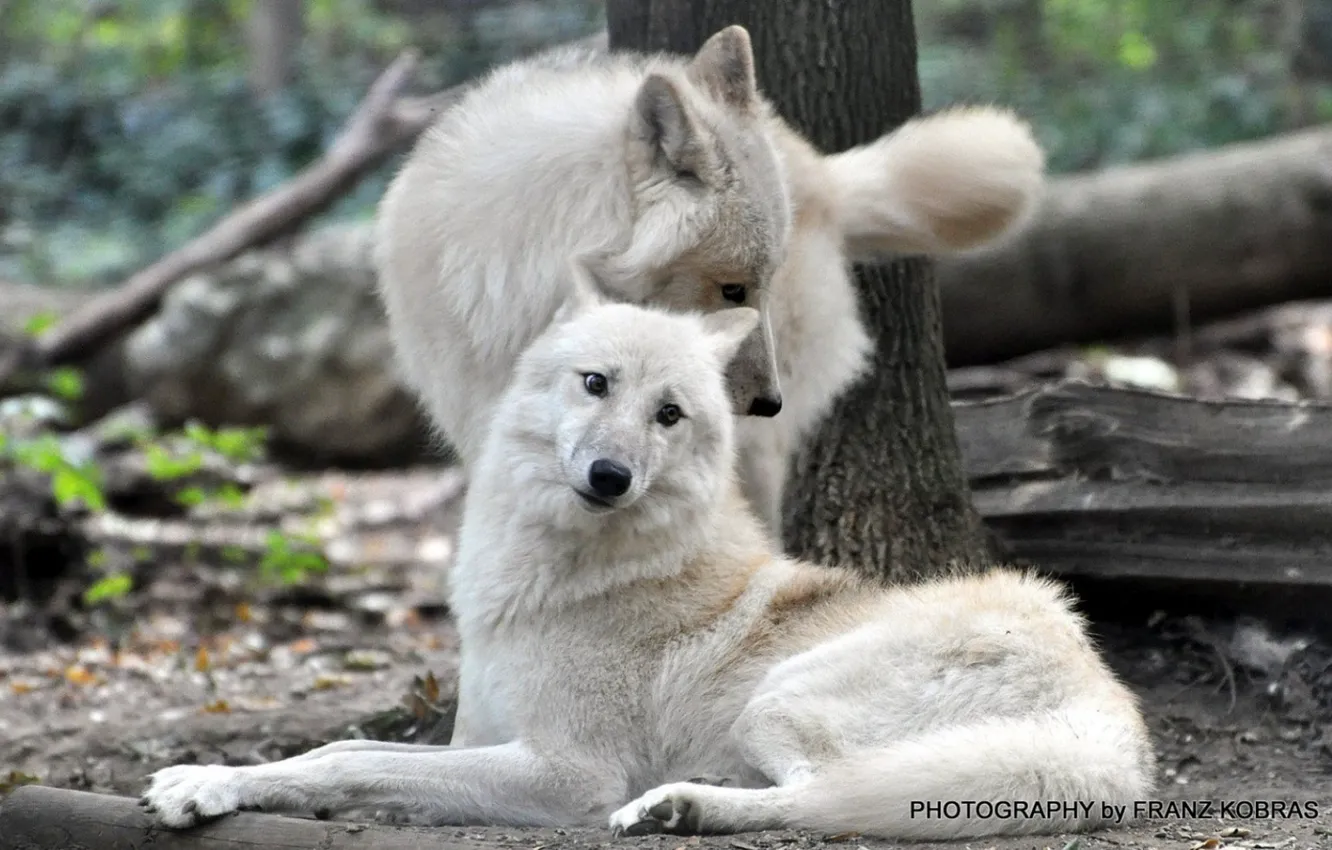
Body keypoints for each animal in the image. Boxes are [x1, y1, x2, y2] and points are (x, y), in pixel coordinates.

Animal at [141, 264, 1154, 840]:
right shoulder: (479, 735)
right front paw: (217, 779)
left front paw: (200, 784)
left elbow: (348, 766)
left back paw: (683, 807)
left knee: (830, 799)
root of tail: (1119, 727)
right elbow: (340, 747)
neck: (553, 578)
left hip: (778, 701)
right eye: (596, 384)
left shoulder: (566, 773)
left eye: (670, 414)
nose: (610, 475)